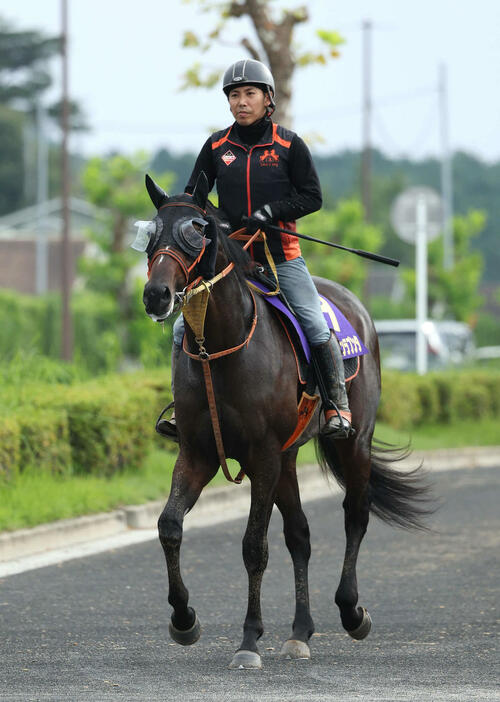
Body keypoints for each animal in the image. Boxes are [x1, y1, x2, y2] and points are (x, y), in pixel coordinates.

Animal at [140, 172, 430, 672]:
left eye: (195, 232)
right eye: (150, 234)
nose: (156, 295)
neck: (222, 347)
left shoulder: (262, 457)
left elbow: (254, 547)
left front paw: (248, 640)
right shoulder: (199, 453)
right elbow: (169, 526)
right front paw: (184, 619)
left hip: (354, 442)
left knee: (356, 514)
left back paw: (352, 611)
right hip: (289, 458)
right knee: (300, 535)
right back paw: (300, 632)